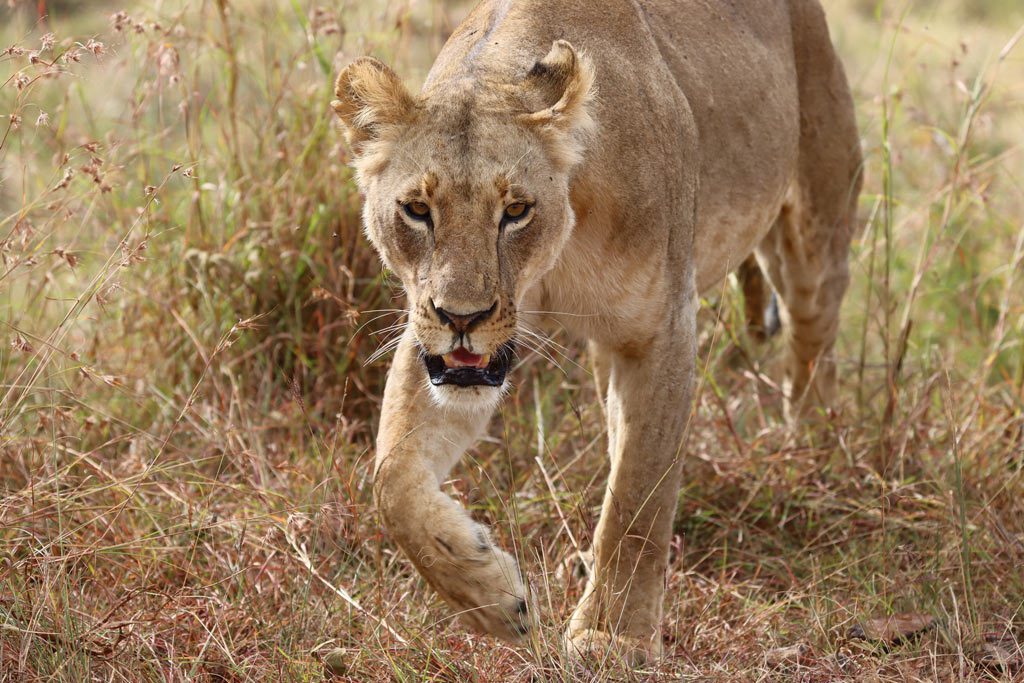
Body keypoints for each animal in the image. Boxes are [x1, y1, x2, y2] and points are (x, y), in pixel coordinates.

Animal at [331, 0, 860, 663]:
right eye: (417, 211)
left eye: (516, 210)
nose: (463, 318)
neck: (554, 257)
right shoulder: (430, 342)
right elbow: (393, 478)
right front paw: (491, 598)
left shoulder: (664, 328)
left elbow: (638, 493)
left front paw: (613, 637)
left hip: (814, 227)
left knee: (813, 347)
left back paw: (813, 456)